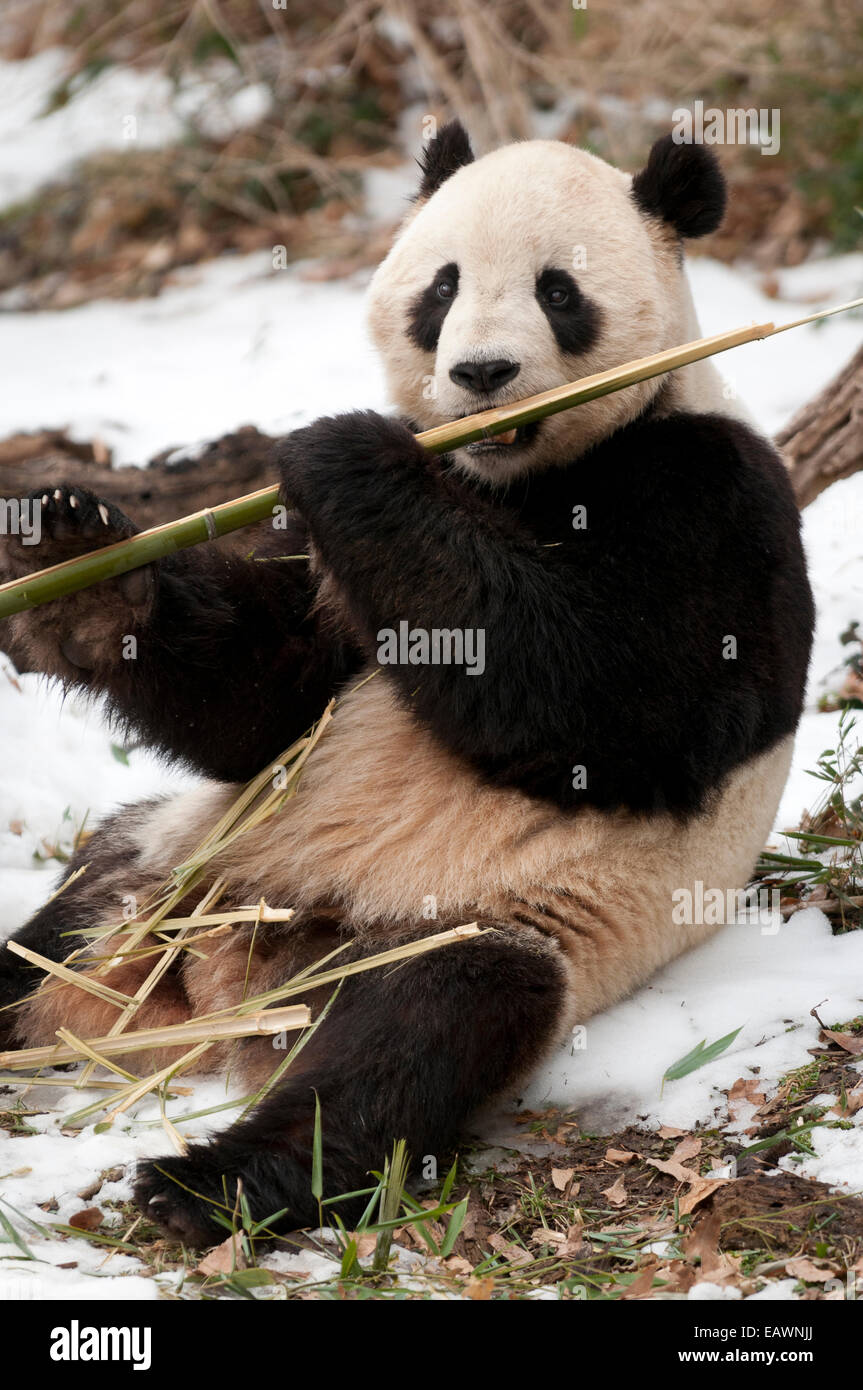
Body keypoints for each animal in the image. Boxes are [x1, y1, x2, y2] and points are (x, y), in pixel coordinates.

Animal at [0, 125, 811, 1245]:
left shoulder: (711, 486)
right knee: (55, 928)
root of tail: (226, 989)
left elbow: (617, 700)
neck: (504, 474)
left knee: (414, 1032)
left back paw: (211, 1182)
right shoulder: (343, 580)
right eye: (442, 285)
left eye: (557, 290)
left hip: (476, 922)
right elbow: (265, 705)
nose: (479, 371)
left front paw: (344, 450)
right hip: (163, 870)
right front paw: (77, 575)